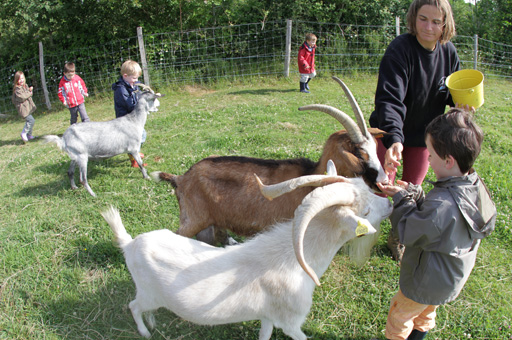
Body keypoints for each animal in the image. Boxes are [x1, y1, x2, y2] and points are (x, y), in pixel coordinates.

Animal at [103, 162, 392, 340]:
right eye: (365, 211)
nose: (390, 202)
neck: (296, 259)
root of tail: (130, 243)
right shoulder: (291, 323)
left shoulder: (268, 317)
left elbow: (264, 334)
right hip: (147, 292)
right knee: (134, 306)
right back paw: (145, 332)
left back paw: (152, 323)